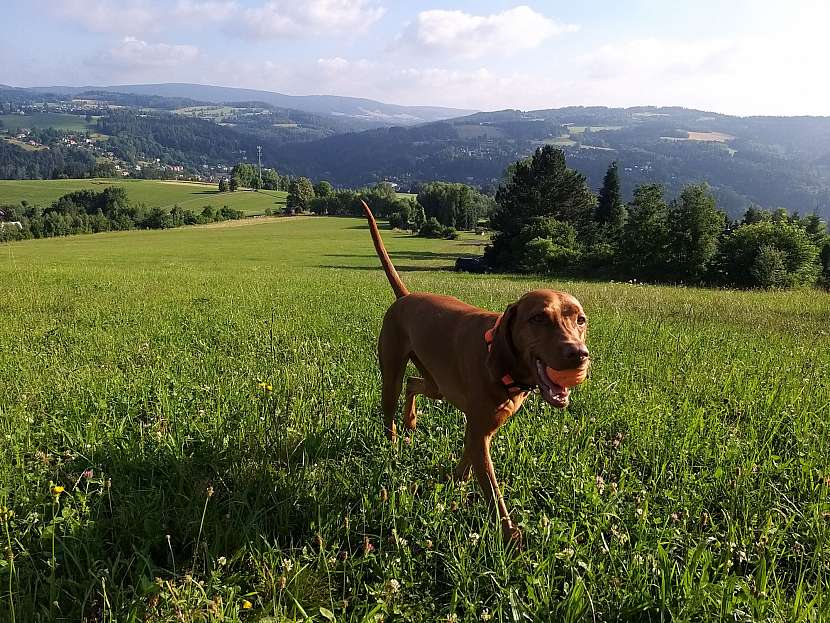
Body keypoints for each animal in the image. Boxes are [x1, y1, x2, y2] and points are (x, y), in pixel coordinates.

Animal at [360, 202, 588, 544]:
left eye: (580, 320)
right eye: (538, 318)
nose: (579, 355)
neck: (501, 362)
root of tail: (406, 296)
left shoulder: (482, 430)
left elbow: (466, 462)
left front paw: (453, 486)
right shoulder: (480, 432)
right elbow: (493, 493)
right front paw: (510, 538)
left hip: (436, 383)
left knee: (415, 383)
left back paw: (411, 421)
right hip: (392, 372)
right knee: (390, 406)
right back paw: (394, 444)